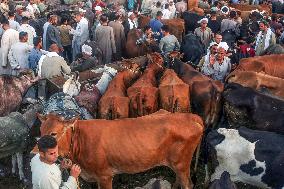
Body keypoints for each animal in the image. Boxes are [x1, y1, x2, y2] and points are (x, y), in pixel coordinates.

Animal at [37, 110, 204, 189]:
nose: (38, 152)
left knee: (188, 184)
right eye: (41, 130)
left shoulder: (104, 176)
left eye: (53, 133)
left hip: (182, 164)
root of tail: (190, 117)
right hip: (177, 164)